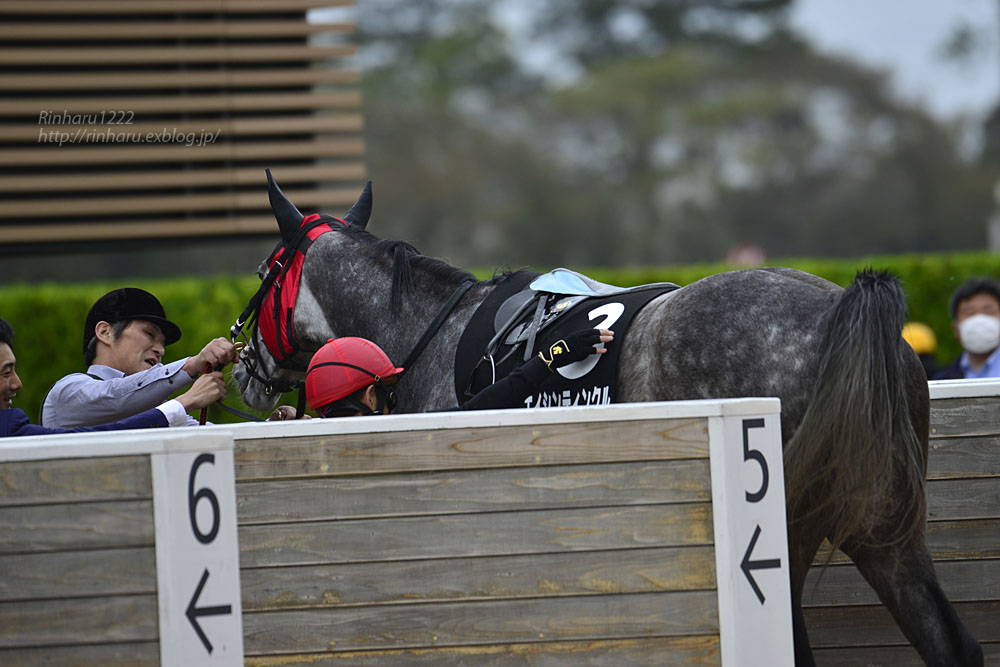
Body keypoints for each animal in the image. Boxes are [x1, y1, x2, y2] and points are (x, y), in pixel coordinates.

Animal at [234, 177, 984, 667]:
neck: (430, 333)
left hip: (792, 528)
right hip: (889, 529)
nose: (241, 365)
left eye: (265, 268)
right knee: (951, 642)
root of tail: (842, 308)